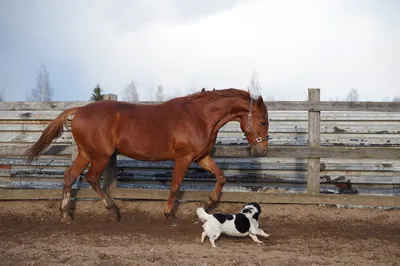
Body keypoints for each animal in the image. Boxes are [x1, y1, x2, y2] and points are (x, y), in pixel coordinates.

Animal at [24, 88, 268, 223]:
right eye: (263, 121)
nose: (262, 150)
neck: (199, 117)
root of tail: (80, 110)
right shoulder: (183, 158)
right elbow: (175, 186)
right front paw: (169, 214)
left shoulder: (201, 157)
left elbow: (221, 177)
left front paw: (207, 204)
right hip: (101, 156)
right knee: (91, 178)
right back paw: (113, 212)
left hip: (85, 153)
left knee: (69, 177)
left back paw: (66, 215)